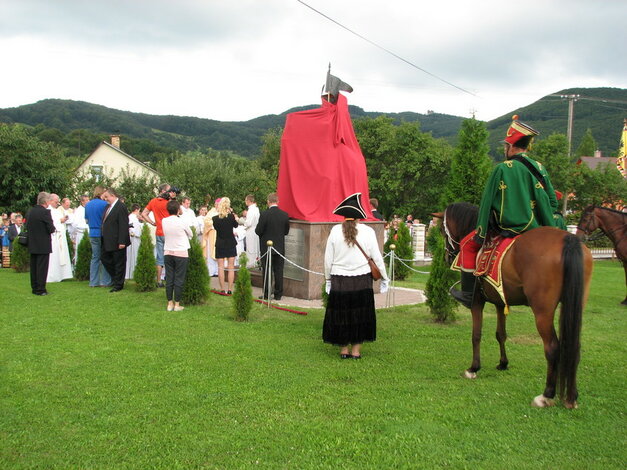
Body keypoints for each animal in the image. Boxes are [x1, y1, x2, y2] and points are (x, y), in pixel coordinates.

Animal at [436, 204, 592, 410]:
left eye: (441, 230)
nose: (447, 256)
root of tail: (569, 239)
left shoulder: (477, 302)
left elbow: (476, 335)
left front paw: (473, 368)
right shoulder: (500, 302)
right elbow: (500, 334)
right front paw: (503, 363)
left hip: (543, 311)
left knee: (552, 347)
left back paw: (546, 395)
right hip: (575, 307)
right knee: (574, 347)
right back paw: (571, 397)